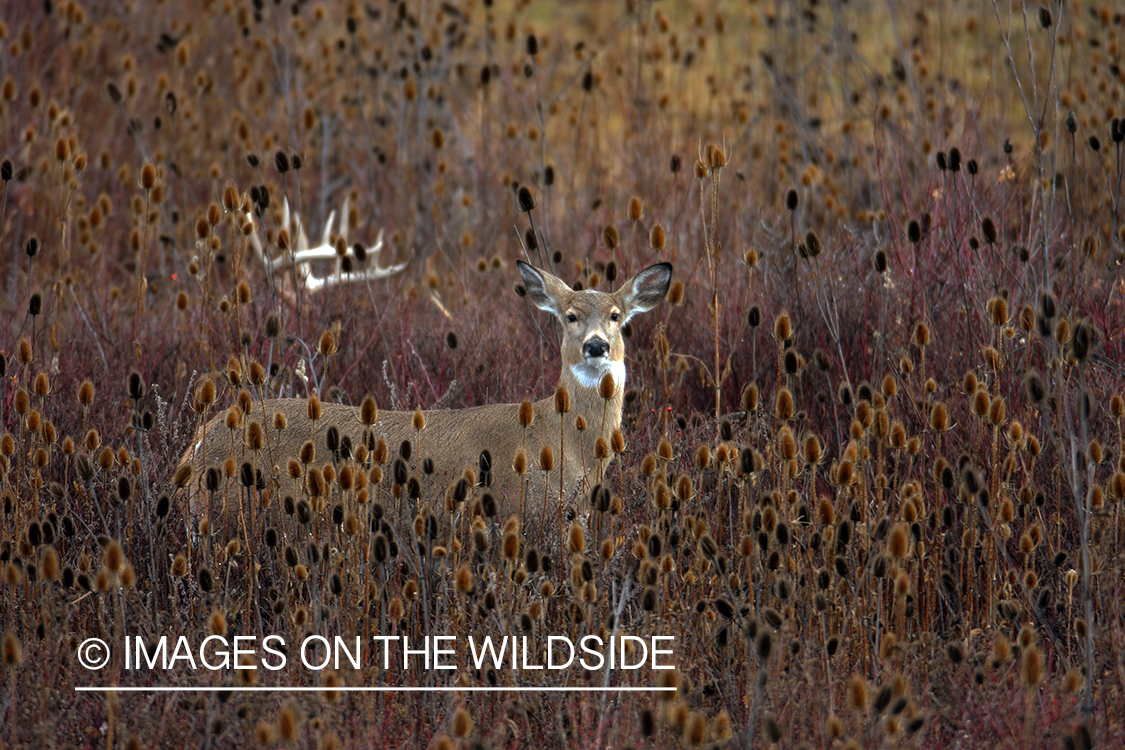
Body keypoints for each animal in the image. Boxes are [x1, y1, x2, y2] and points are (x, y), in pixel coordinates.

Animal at [174, 260, 666, 537]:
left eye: (617, 315)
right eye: (570, 316)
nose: (596, 345)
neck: (564, 440)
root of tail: (197, 443)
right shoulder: (522, 512)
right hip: (228, 515)